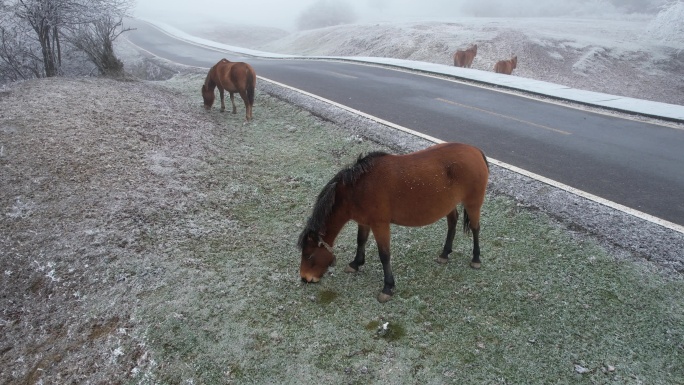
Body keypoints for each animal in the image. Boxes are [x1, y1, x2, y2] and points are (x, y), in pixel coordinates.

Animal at [296, 142, 488, 302]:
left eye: (309, 255)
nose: (305, 278)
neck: (357, 189)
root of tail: (476, 151)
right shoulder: (364, 222)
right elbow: (361, 241)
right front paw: (356, 263)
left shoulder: (380, 225)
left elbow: (384, 255)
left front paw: (388, 287)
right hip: (449, 204)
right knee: (452, 223)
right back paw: (445, 254)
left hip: (473, 203)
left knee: (475, 228)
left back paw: (476, 258)